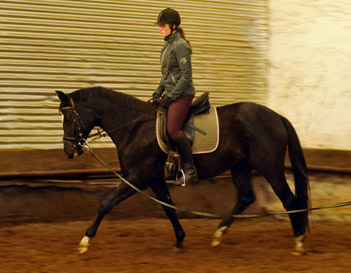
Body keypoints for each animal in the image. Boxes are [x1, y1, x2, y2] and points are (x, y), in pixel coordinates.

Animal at [55, 86, 310, 254]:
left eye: (68, 117)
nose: (68, 150)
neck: (134, 127)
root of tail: (276, 116)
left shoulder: (137, 177)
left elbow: (106, 203)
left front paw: (85, 241)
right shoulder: (154, 179)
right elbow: (169, 208)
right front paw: (179, 240)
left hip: (269, 167)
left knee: (289, 200)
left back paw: (298, 242)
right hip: (240, 166)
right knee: (246, 197)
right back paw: (218, 235)